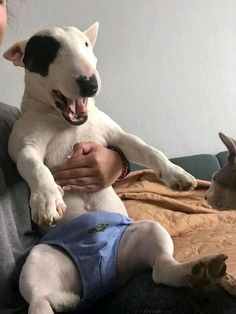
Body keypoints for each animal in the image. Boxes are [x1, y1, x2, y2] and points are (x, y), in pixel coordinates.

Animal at [3, 23, 229, 312]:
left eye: (86, 45)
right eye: (49, 50)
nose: (90, 83)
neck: (64, 122)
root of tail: (101, 283)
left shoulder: (117, 137)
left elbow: (146, 149)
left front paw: (176, 174)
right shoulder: (25, 147)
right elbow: (35, 166)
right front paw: (47, 199)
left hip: (147, 232)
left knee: (161, 268)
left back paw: (197, 271)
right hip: (38, 261)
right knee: (39, 299)